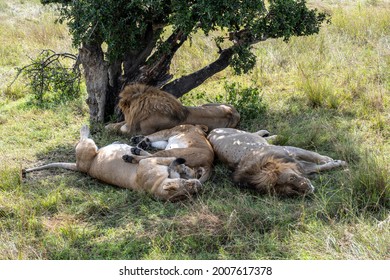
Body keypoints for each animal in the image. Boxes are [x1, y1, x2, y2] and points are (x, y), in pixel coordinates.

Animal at [22, 125, 201, 201]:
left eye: (189, 192)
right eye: (185, 186)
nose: (198, 185)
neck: (156, 186)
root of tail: (81, 167)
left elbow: (169, 161)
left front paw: (187, 169)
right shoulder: (149, 163)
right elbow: (168, 158)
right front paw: (185, 167)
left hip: (90, 149)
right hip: (89, 147)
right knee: (84, 138)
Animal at [207, 128, 348, 196]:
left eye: (291, 178)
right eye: (290, 190)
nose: (308, 189)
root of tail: (210, 132)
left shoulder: (290, 150)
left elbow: (314, 156)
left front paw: (334, 160)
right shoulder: (301, 166)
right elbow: (319, 167)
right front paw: (336, 163)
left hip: (238, 131)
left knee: (255, 133)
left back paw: (269, 133)